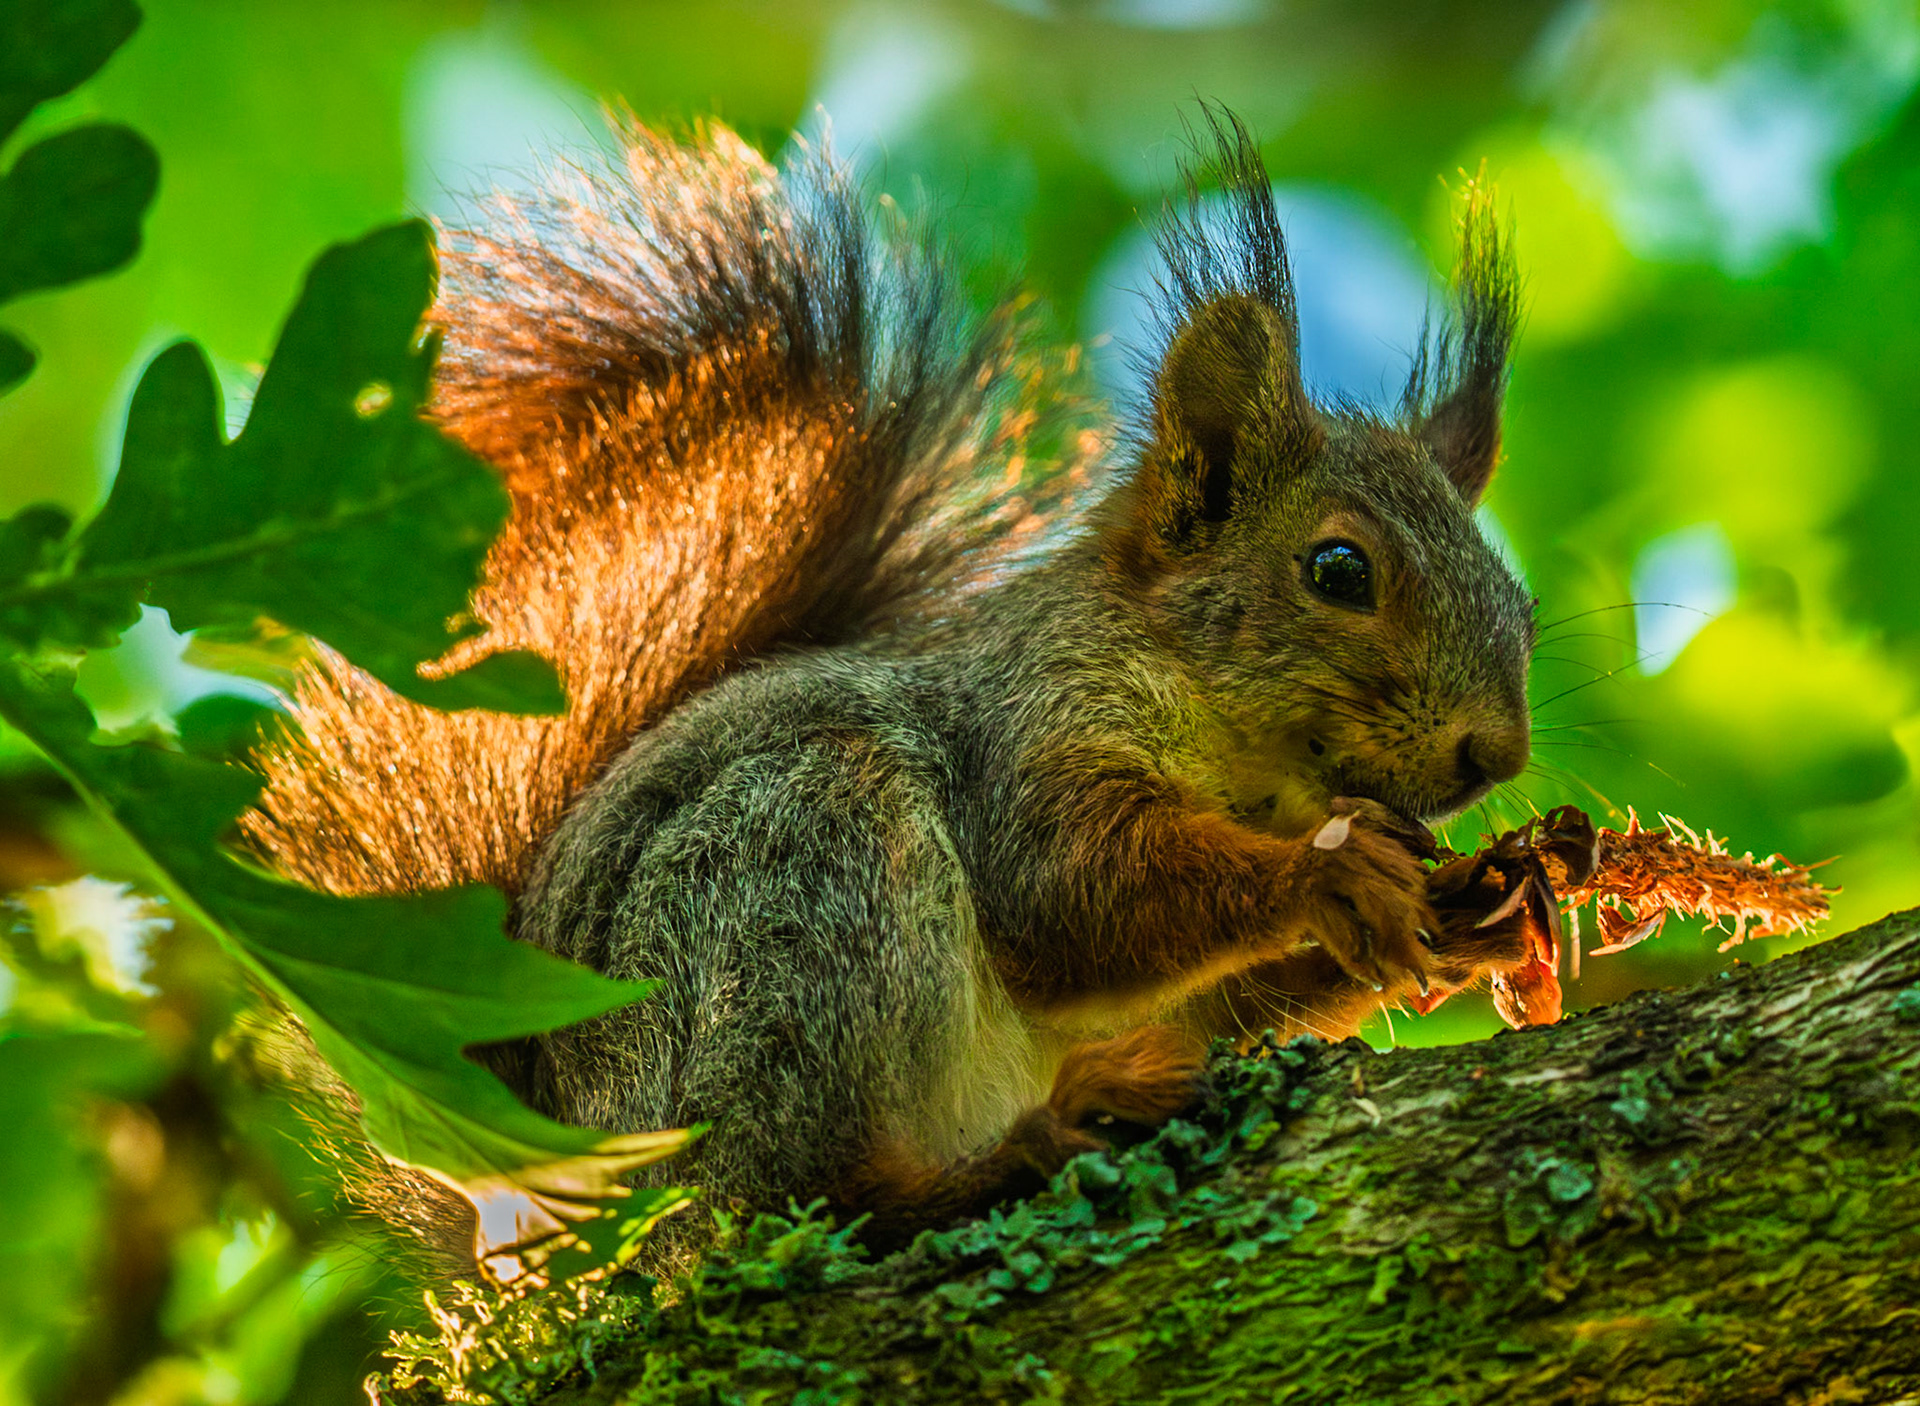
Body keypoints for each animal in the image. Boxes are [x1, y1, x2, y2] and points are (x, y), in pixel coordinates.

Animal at [242, 109, 1534, 1262]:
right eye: (1339, 568)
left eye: (1521, 611)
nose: (1497, 755)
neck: (1243, 760)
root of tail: (532, 1181)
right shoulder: (1026, 721)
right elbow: (1069, 888)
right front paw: (1328, 870)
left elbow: (1214, 999)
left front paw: (1472, 908)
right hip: (793, 881)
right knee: (780, 1195)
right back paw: (1011, 1153)